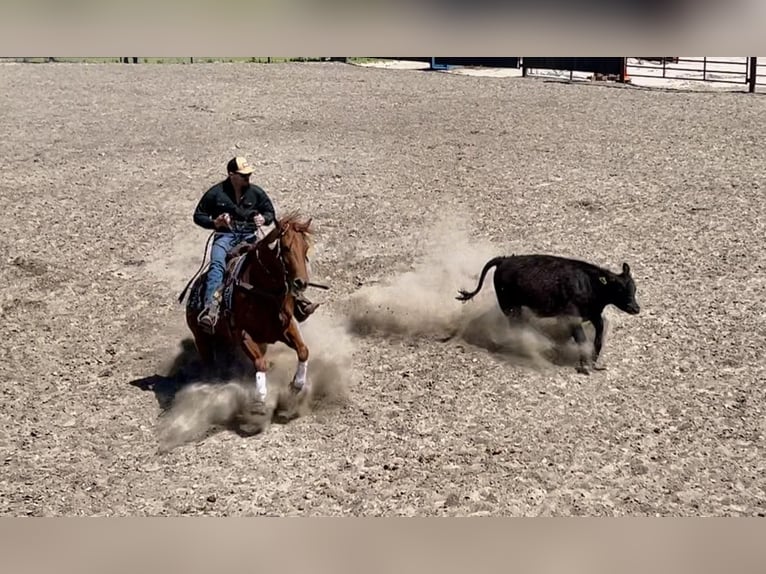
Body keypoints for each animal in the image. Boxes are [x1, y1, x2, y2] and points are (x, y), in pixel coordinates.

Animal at [183, 213, 316, 404]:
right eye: (285, 248)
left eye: (305, 248)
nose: (301, 283)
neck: (265, 292)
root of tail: (193, 290)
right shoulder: (243, 334)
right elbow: (260, 364)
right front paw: (260, 399)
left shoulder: (286, 325)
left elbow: (303, 350)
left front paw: (296, 385)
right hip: (201, 339)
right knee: (210, 366)